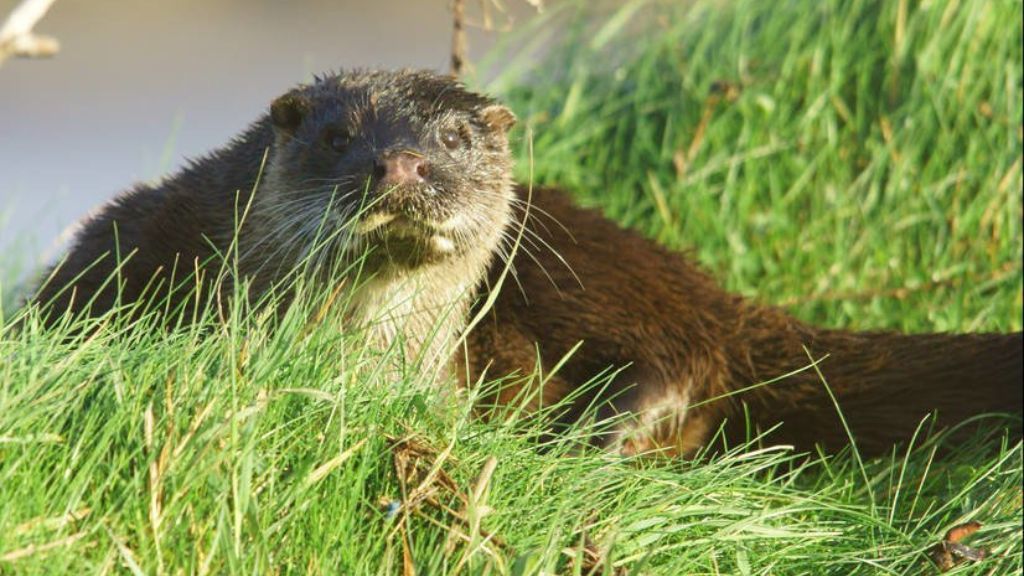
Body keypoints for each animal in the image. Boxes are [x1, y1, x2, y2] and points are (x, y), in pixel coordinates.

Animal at [28, 71, 1019, 455]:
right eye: (340, 135)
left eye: (453, 138)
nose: (401, 163)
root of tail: (714, 292)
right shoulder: (122, 247)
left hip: (590, 273)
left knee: (681, 364)